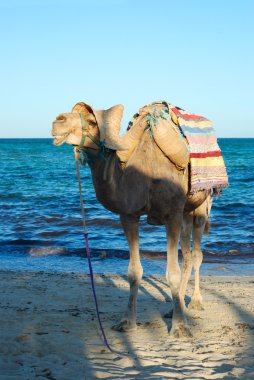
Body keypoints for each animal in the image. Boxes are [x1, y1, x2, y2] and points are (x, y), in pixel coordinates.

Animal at [52, 101, 213, 338]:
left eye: (92, 122)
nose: (58, 121)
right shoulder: (129, 215)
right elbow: (133, 271)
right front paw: (127, 322)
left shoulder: (172, 214)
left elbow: (172, 272)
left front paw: (181, 328)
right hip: (185, 212)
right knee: (187, 255)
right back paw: (174, 309)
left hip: (201, 206)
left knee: (197, 253)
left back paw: (195, 303)